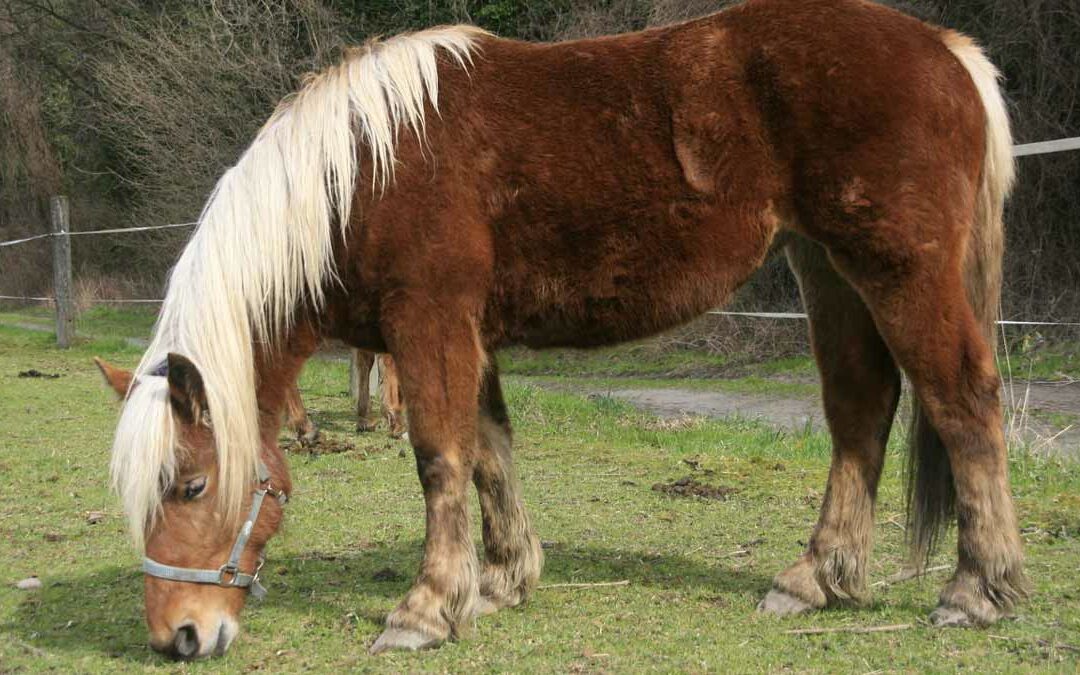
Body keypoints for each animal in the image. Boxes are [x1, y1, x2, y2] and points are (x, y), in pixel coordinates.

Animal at [94, 0, 1026, 659]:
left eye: (190, 486)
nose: (178, 636)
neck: (363, 169)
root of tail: (945, 48)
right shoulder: (469, 334)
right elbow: (489, 452)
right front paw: (500, 580)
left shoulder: (430, 321)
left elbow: (440, 458)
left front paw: (424, 609)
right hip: (827, 269)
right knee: (861, 411)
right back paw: (815, 580)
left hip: (898, 272)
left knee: (963, 401)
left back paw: (976, 590)